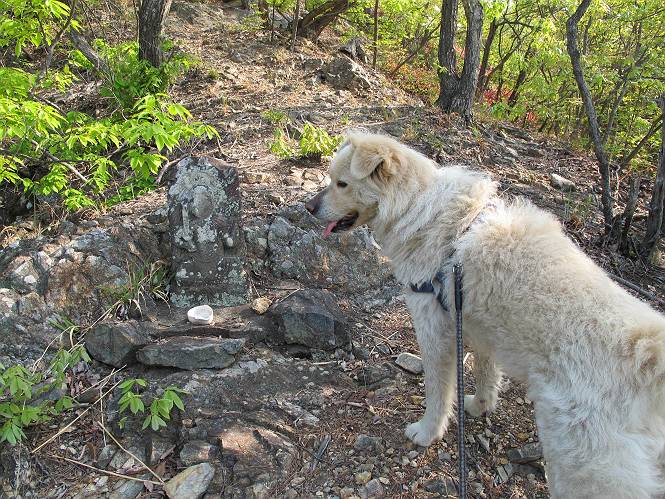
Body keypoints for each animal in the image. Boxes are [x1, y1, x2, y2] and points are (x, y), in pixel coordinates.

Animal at [305, 131, 665, 498]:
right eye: (331, 180)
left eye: (342, 183)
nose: (309, 207)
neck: (420, 210)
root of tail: (648, 356)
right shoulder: (477, 328)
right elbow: (485, 375)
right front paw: (479, 406)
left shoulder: (434, 330)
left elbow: (438, 392)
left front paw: (427, 432)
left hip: (582, 463)